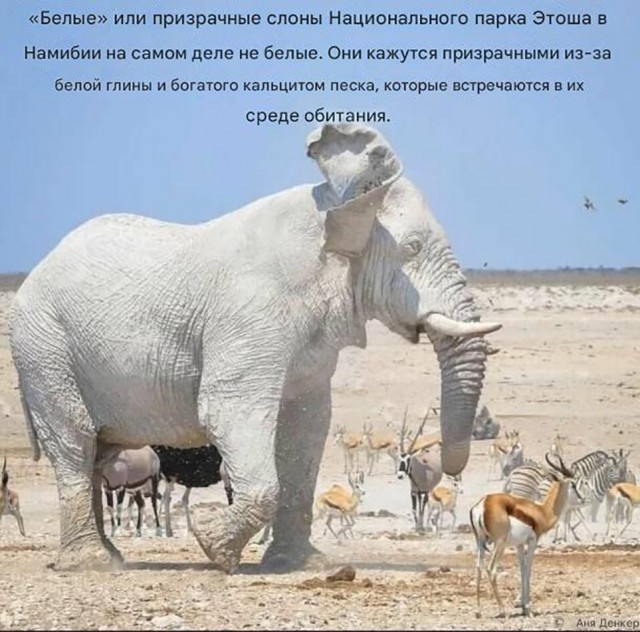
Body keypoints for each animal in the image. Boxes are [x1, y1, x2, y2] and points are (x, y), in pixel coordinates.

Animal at [9, 123, 501, 574]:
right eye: (413, 248)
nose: (443, 468)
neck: (335, 206)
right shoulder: (249, 315)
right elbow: (228, 411)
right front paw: (213, 549)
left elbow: (306, 426)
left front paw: (299, 564)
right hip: (44, 348)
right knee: (75, 444)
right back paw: (93, 563)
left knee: (99, 453)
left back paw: (109, 556)